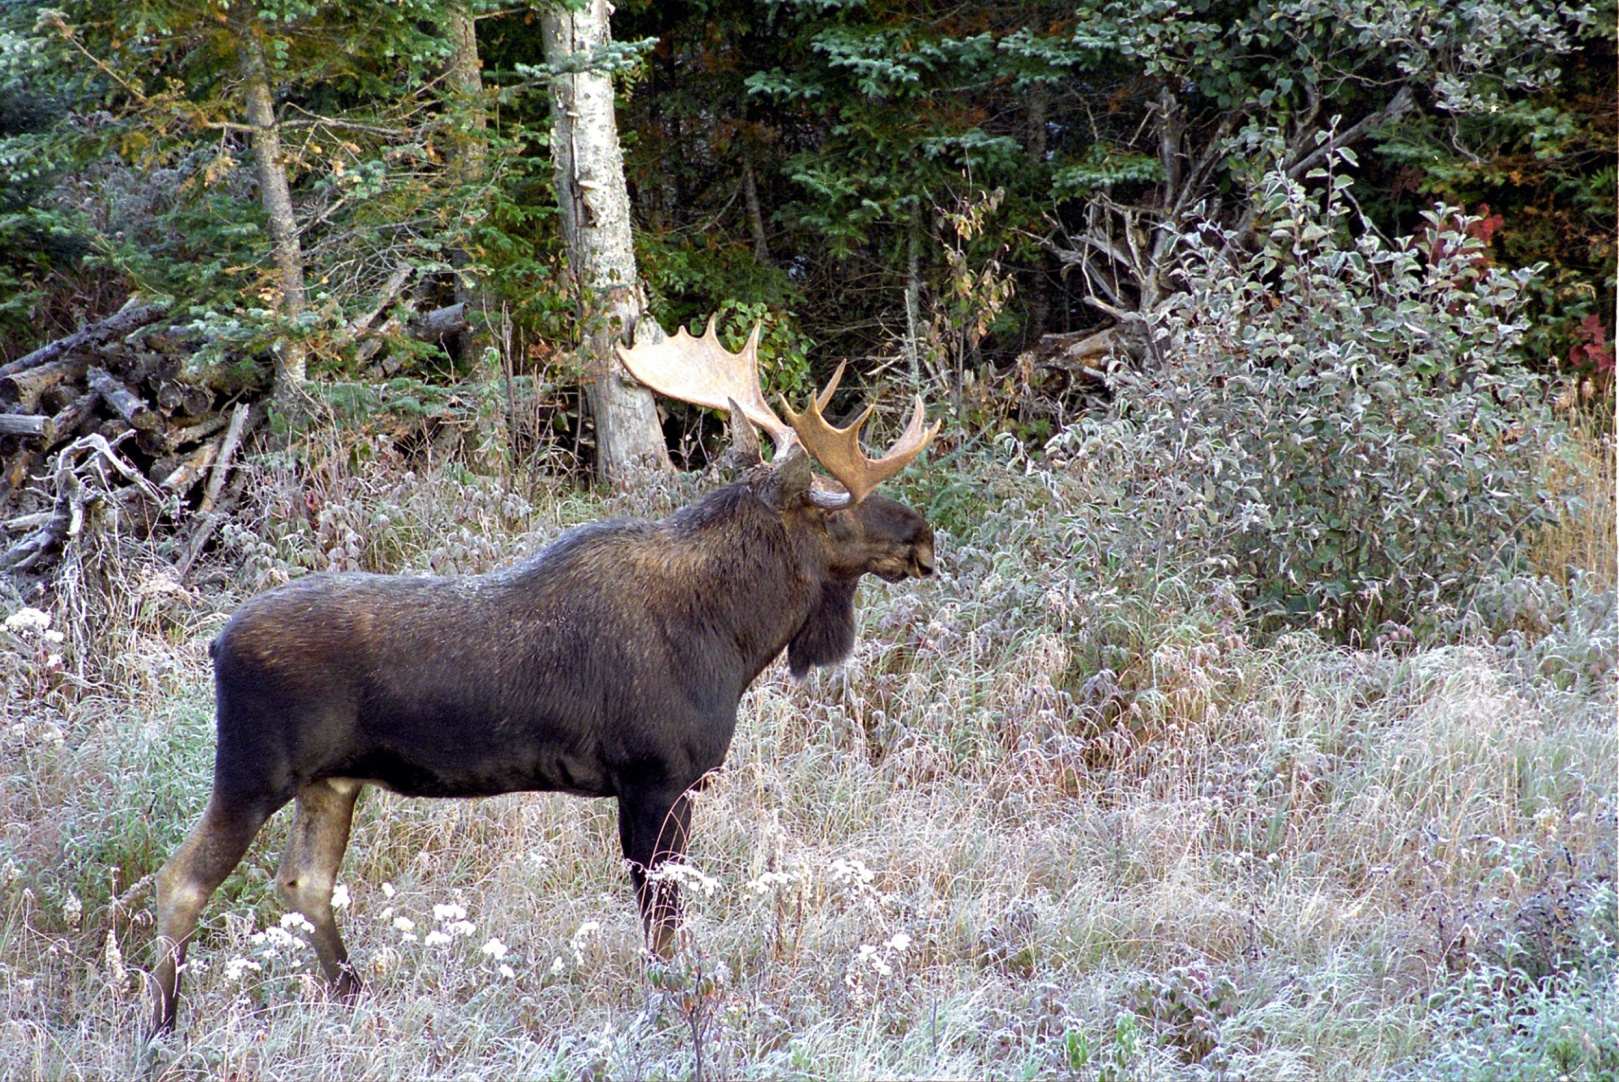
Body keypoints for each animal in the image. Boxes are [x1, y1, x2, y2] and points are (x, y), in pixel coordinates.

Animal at [148, 319, 940, 1036]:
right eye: (835, 508)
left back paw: (352, 996)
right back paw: (162, 1024)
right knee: (181, 878)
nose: (923, 536)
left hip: (332, 780)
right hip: (254, 768)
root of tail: (217, 643)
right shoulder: (657, 776)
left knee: (304, 881)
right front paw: (674, 1009)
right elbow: (662, 925)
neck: (734, 637)